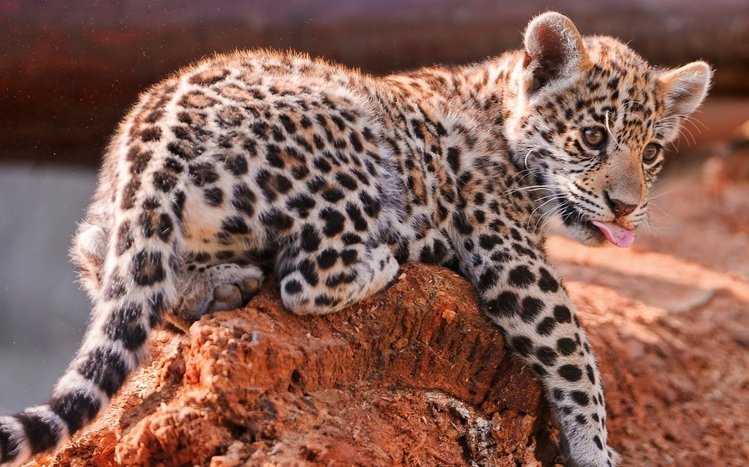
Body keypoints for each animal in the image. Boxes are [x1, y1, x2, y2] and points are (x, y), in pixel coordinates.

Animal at [0, 12, 710, 467]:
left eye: (651, 153)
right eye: (592, 137)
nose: (626, 209)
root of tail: (155, 131)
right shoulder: (509, 252)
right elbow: (574, 353)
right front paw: (596, 449)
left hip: (114, 225)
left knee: (116, 267)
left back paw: (217, 287)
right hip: (358, 152)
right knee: (306, 279)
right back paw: (388, 259)